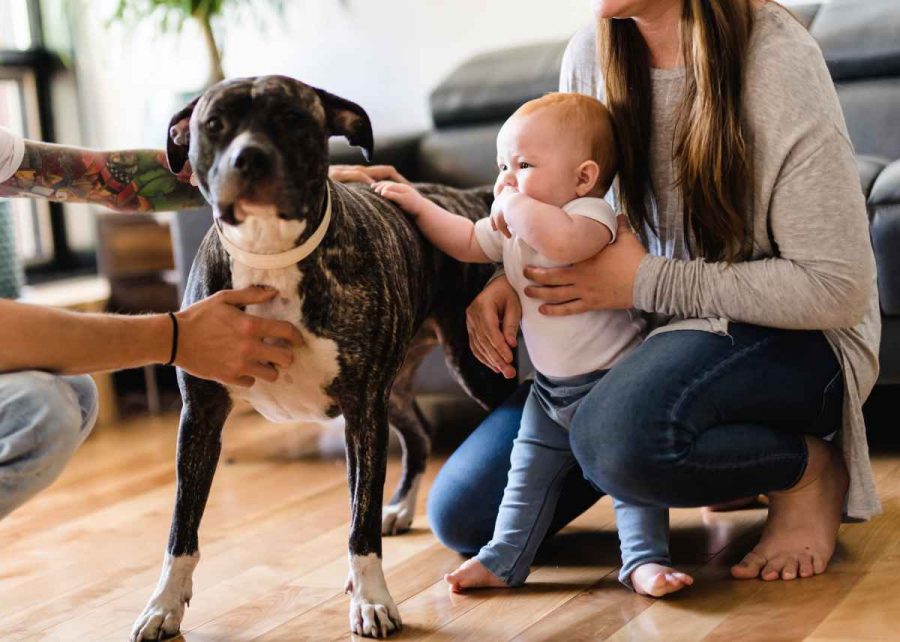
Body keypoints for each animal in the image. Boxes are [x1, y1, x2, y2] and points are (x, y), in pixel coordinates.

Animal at [130, 75, 516, 636]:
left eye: (293, 118)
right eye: (214, 124)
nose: (249, 158)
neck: (269, 253)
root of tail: (465, 197)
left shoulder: (362, 412)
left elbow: (359, 527)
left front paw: (373, 600)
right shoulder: (201, 415)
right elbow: (182, 526)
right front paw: (162, 605)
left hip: (469, 367)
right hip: (394, 390)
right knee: (419, 436)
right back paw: (399, 509)